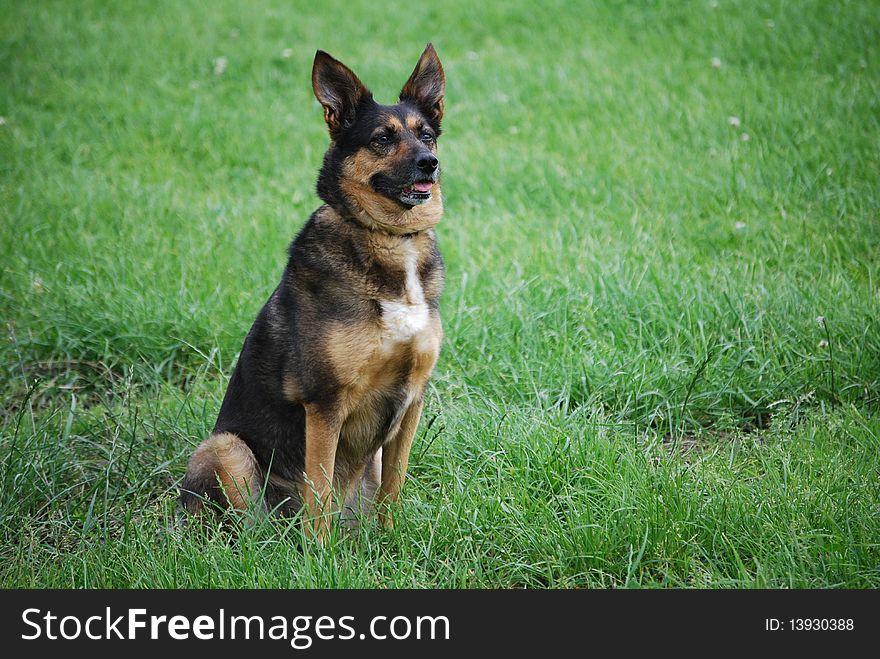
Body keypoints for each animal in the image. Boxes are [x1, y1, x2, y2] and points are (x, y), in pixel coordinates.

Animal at [183, 45, 450, 540]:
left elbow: (395, 487)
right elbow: (320, 490)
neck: (390, 238)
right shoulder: (325, 403)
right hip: (225, 449)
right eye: (382, 139)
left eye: (426, 134)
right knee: (251, 524)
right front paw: (320, 554)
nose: (429, 162)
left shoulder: (412, 401)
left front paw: (390, 539)